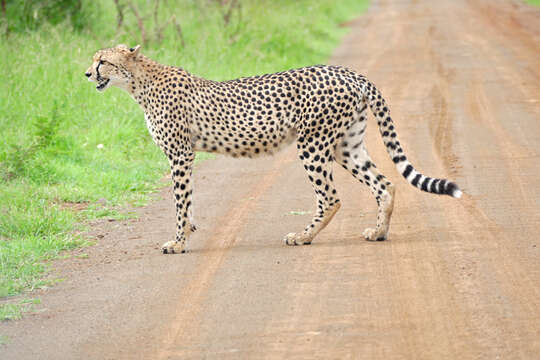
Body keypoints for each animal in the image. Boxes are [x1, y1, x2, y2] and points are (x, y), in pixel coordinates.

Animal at [86, 44, 462, 253]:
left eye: (102, 61)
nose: (87, 74)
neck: (139, 82)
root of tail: (348, 71)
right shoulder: (184, 156)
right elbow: (187, 200)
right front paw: (188, 233)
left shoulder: (180, 154)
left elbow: (180, 202)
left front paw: (178, 242)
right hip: (346, 144)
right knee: (384, 184)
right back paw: (378, 232)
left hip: (312, 144)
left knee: (331, 198)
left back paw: (302, 237)